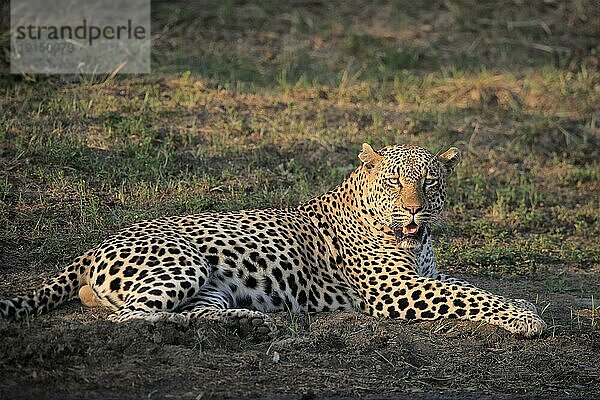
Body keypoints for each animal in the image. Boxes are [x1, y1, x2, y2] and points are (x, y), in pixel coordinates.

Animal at [0, 144, 548, 338]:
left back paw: (249, 321)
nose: (414, 209)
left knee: (194, 312)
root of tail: (94, 247)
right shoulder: (397, 290)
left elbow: (469, 285)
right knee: (128, 316)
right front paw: (527, 320)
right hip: (181, 264)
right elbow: (468, 294)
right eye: (395, 183)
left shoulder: (426, 275)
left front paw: (523, 305)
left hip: (210, 286)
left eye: (430, 182)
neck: (416, 240)